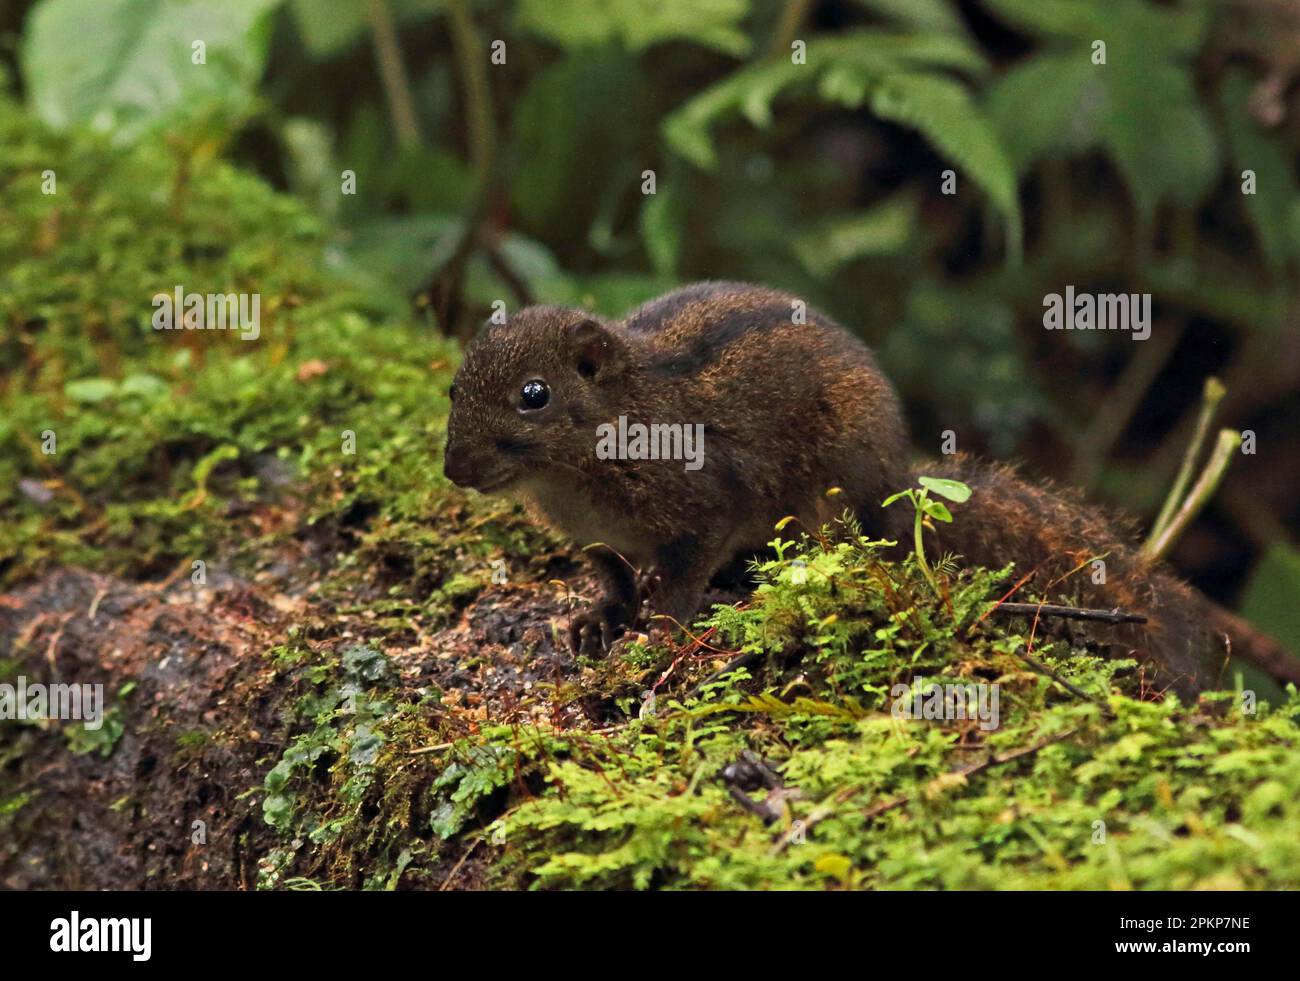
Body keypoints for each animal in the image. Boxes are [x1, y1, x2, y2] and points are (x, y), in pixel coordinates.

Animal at [443, 281, 1297, 699]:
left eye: (533, 395)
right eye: (453, 386)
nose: (454, 468)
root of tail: (896, 477)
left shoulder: (705, 496)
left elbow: (683, 573)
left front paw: (661, 630)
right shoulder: (593, 535)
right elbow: (612, 573)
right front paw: (601, 619)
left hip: (835, 492)